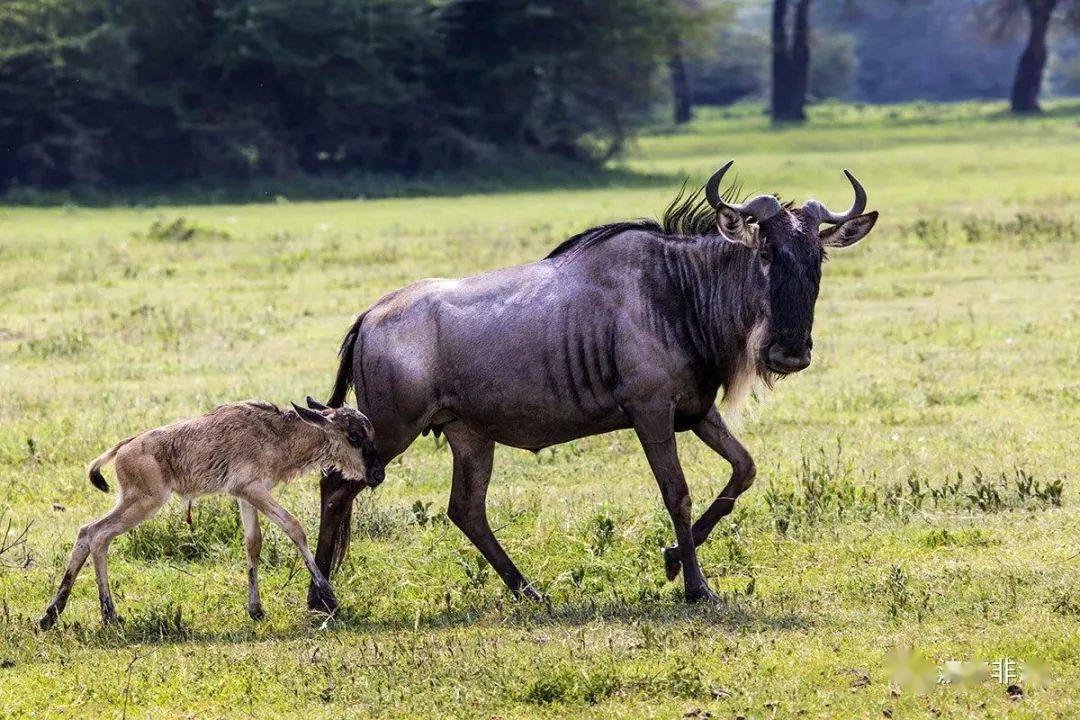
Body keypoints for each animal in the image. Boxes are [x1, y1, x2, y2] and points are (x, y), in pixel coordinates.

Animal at [39, 399, 384, 630]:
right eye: (354, 436)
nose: (378, 474)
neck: (276, 435)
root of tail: (125, 446)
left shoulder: (247, 496)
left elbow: (253, 544)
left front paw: (256, 609)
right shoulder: (252, 489)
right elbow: (294, 527)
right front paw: (329, 597)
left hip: (132, 502)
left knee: (86, 531)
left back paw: (51, 613)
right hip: (143, 503)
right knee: (98, 535)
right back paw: (109, 614)